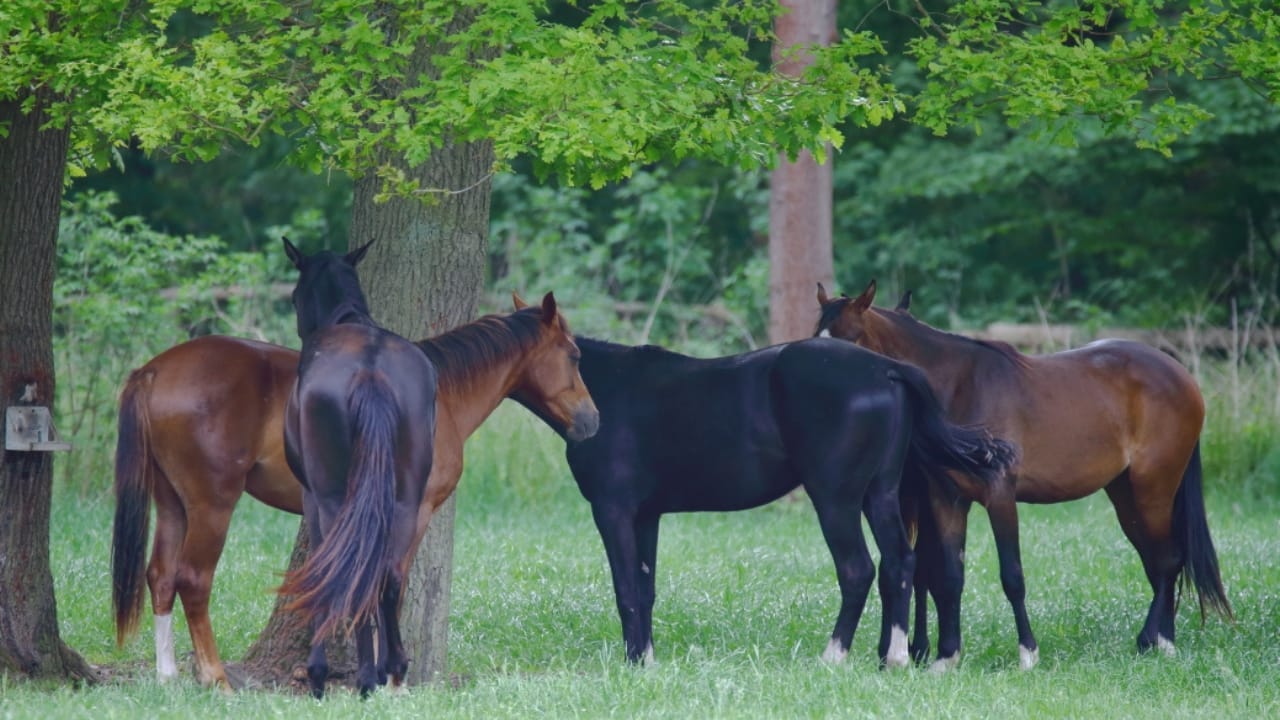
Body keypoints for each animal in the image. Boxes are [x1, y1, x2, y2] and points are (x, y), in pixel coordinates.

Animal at [111, 272, 598, 692]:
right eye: (574, 355)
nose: (592, 420)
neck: (438, 392)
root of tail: (154, 370)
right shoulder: (411, 512)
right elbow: (388, 585)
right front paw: (390, 676)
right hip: (212, 506)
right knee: (193, 580)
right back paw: (216, 679)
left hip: (173, 503)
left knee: (161, 576)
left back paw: (168, 676)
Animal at [523, 335, 1017, 667]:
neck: (606, 389)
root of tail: (886, 368)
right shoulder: (646, 516)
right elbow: (645, 589)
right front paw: (645, 659)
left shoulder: (613, 512)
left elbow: (626, 588)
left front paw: (634, 663)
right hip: (879, 494)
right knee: (899, 564)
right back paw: (889, 657)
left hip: (835, 499)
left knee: (858, 569)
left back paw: (834, 655)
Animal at [815, 280, 1233, 671]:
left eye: (851, 338)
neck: (961, 389)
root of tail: (1181, 374)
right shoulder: (946, 499)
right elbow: (948, 577)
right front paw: (945, 657)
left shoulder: (999, 495)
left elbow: (1012, 576)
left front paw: (1028, 654)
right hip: (1125, 495)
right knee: (1157, 560)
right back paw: (1157, 639)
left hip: (1154, 489)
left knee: (1168, 560)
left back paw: (1160, 641)